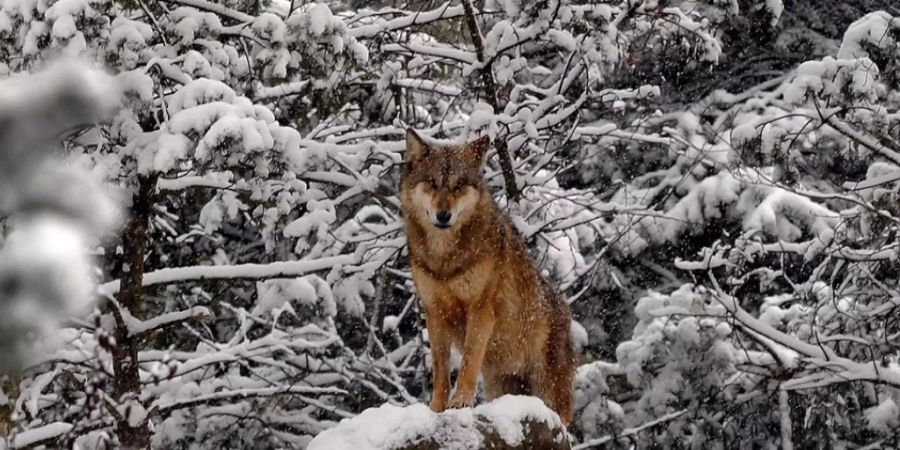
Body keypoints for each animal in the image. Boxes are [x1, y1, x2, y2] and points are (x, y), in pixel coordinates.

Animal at [400, 129, 576, 426]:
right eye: (432, 183)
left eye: (459, 184)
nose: (443, 215)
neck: (445, 260)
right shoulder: (434, 313)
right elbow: (440, 372)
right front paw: (436, 409)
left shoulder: (481, 309)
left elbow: (469, 361)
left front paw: (460, 402)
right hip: (502, 385)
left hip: (547, 388)